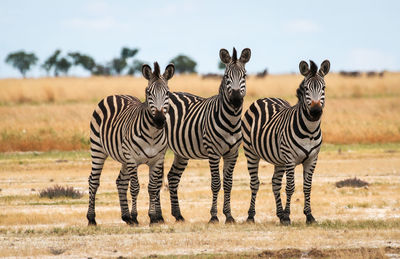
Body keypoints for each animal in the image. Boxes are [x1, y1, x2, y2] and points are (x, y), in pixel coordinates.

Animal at [86, 62, 174, 226]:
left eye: (167, 93)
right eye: (148, 92)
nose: (159, 120)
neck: (152, 135)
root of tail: (115, 94)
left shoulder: (157, 159)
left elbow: (153, 187)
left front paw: (152, 217)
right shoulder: (133, 159)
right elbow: (134, 187)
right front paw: (135, 216)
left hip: (124, 158)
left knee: (120, 182)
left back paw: (126, 217)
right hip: (98, 149)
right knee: (93, 181)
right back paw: (91, 218)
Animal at [166, 47, 250, 224]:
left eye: (245, 75)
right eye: (226, 76)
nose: (236, 100)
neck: (232, 121)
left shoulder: (233, 154)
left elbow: (228, 183)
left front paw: (229, 216)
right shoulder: (213, 153)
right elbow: (216, 183)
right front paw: (214, 216)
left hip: (181, 152)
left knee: (172, 177)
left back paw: (178, 215)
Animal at [242, 59, 330, 225]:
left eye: (323, 88)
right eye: (306, 88)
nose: (315, 112)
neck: (310, 131)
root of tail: (265, 98)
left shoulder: (312, 159)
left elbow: (307, 187)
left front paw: (309, 216)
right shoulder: (290, 158)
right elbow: (290, 187)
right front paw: (288, 216)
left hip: (279, 160)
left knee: (275, 183)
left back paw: (280, 215)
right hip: (251, 153)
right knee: (254, 183)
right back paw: (251, 216)